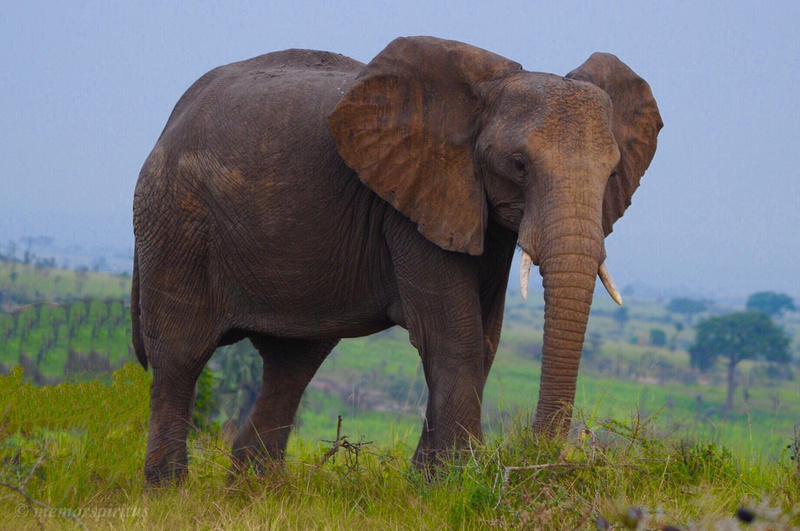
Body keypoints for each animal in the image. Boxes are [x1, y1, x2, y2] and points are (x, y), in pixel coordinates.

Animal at [131, 36, 660, 486]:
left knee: (292, 362)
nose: (542, 460)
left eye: (613, 172)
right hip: (175, 220)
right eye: (518, 165)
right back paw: (169, 492)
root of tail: (170, 122)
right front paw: (461, 481)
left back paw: (253, 489)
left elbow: (485, 339)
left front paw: (427, 484)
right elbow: (454, 337)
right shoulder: (413, 201)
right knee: (181, 353)